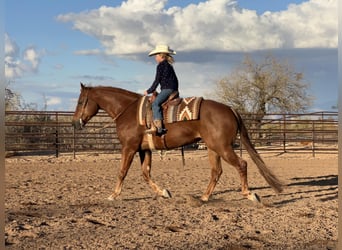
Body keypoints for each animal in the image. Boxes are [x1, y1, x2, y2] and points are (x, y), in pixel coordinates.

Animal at [72, 83, 284, 202]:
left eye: (81, 101)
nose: (75, 123)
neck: (128, 111)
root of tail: (230, 109)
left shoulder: (129, 148)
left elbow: (122, 172)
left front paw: (113, 195)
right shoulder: (144, 150)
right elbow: (145, 173)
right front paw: (164, 192)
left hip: (222, 147)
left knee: (242, 164)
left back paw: (249, 194)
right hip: (213, 148)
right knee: (216, 171)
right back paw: (204, 197)